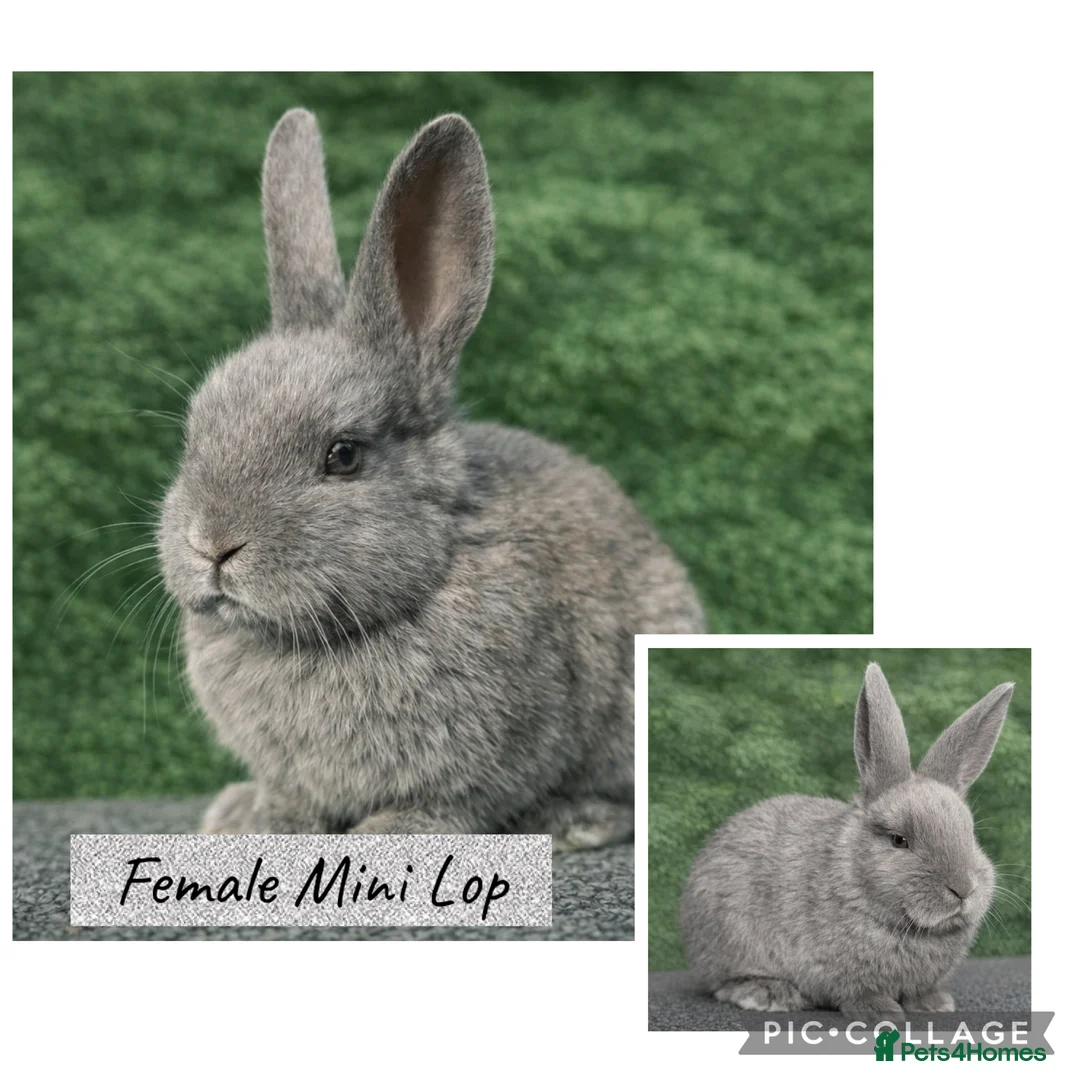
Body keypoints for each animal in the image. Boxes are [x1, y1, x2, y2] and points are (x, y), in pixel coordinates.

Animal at [156, 108, 705, 848]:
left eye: (344, 455)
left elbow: (457, 801)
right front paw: (257, 820)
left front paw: (389, 832)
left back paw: (574, 822)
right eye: (196, 434)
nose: (212, 545)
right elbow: (290, 796)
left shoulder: (504, 747)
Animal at [680, 662, 1014, 1019]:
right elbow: (857, 992)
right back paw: (768, 994)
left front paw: (934, 1004)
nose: (963, 889)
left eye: (970, 833)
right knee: (722, 984)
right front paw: (881, 1013)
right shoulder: (836, 969)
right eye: (899, 840)